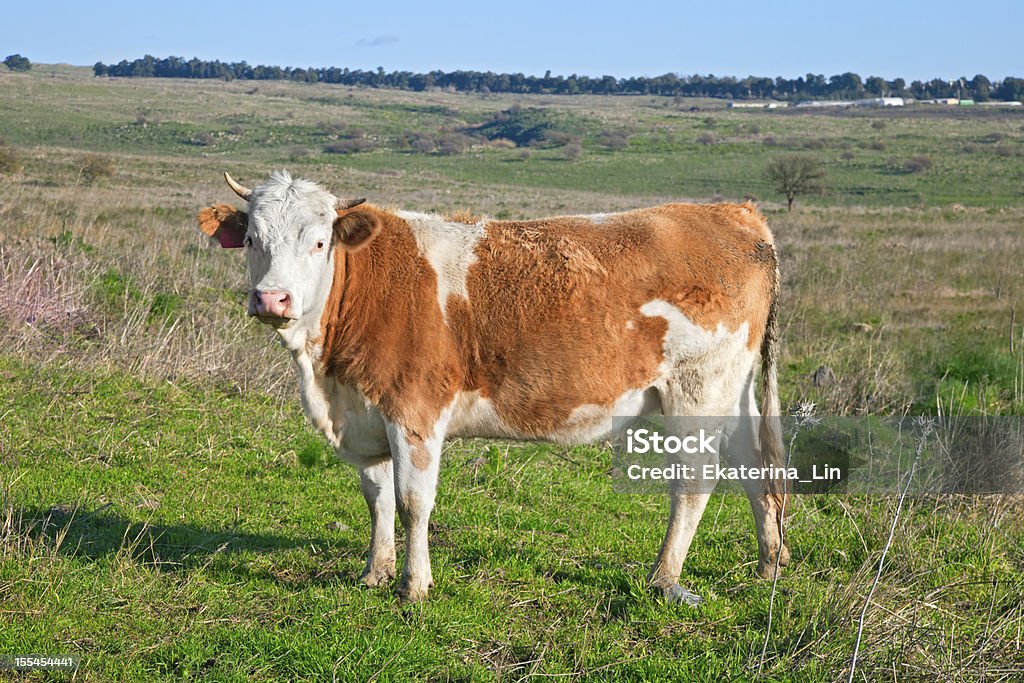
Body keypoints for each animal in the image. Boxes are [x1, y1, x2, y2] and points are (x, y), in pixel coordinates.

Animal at [199, 172, 790, 602]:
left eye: (320, 242)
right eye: (251, 239)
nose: (271, 299)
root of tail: (735, 213)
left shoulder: (415, 411)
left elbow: (413, 502)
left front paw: (413, 586)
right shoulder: (367, 413)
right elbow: (377, 499)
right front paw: (374, 572)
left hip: (698, 390)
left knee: (693, 484)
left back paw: (664, 579)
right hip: (734, 391)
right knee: (757, 471)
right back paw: (769, 564)